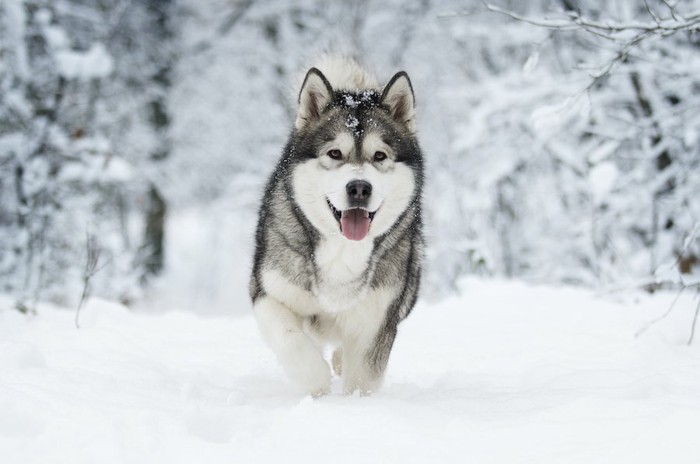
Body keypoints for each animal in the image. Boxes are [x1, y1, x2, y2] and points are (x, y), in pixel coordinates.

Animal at [252, 55, 426, 396]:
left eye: (379, 155)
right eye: (335, 153)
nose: (359, 188)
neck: (342, 251)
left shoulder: (376, 321)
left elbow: (363, 378)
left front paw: (353, 404)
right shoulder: (268, 290)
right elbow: (289, 338)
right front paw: (315, 381)